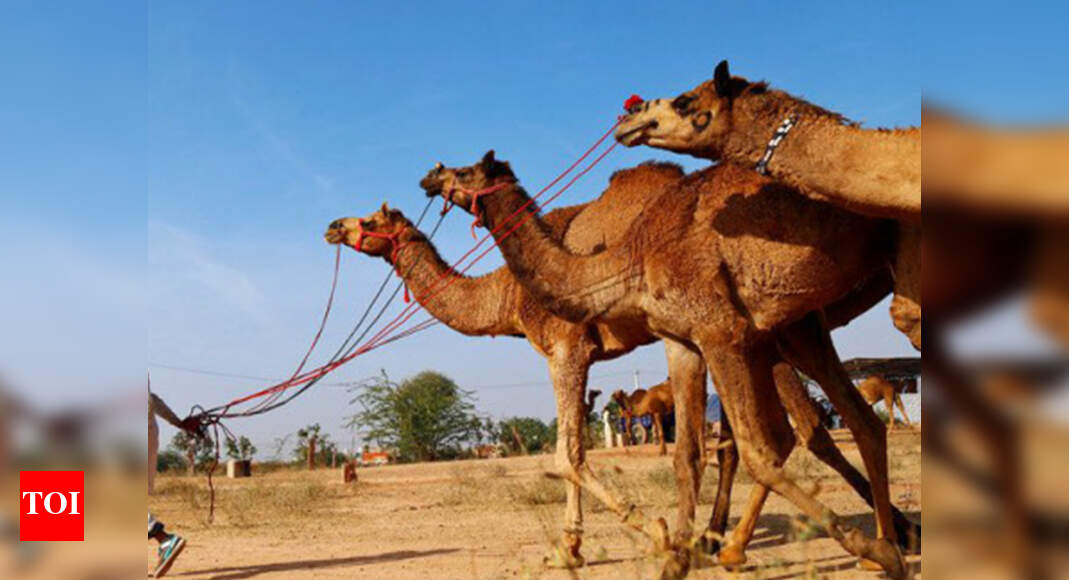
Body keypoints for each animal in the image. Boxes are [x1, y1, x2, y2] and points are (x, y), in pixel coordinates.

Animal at [329, 196, 915, 569]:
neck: (508, 296)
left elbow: (566, 455)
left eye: (370, 217)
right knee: (816, 425)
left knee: (806, 428)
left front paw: (638, 533)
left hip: (769, 327)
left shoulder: (566, 346)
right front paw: (574, 547)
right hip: (778, 328)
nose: (333, 226)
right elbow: (573, 453)